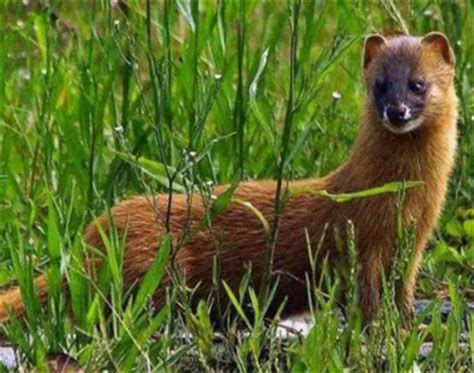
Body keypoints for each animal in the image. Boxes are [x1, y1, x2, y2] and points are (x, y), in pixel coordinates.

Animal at [0, 33, 460, 324]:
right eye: (379, 84)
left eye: (418, 84)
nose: (396, 110)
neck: (406, 200)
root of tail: (89, 239)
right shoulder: (364, 241)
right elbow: (366, 294)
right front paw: (376, 328)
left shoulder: (414, 243)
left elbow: (402, 290)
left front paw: (405, 322)